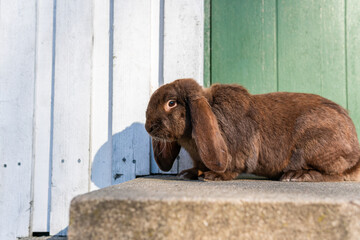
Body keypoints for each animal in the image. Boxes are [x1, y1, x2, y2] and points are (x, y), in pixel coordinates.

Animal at [144, 79, 360, 182]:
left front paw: (214, 176)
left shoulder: (236, 152)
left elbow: (231, 167)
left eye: (171, 103)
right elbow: (199, 166)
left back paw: (296, 176)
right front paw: (187, 173)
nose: (148, 127)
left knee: (336, 174)